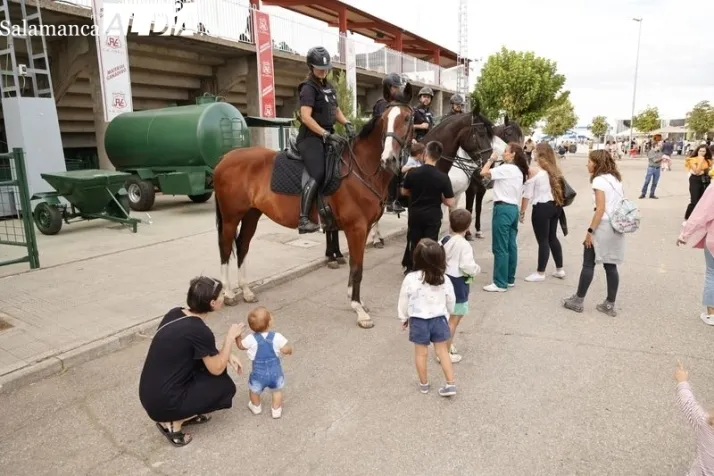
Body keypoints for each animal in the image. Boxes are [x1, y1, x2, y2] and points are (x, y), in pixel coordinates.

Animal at [211, 82, 414, 328]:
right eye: (385, 119)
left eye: (407, 118)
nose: (389, 159)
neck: (361, 168)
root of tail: (225, 158)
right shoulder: (356, 228)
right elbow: (357, 268)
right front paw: (359, 309)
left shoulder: (363, 229)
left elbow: (356, 266)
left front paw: (356, 300)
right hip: (231, 216)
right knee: (225, 247)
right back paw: (229, 293)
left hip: (251, 214)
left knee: (242, 246)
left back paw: (247, 291)